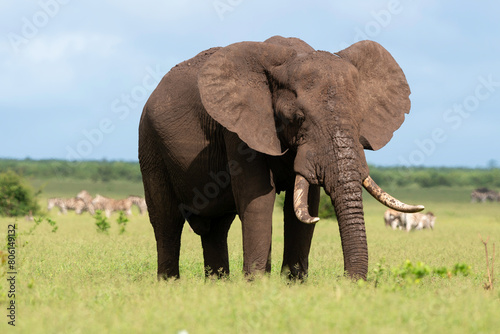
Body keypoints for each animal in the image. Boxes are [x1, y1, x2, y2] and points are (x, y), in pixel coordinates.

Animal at [139, 35, 424, 280]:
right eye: (297, 119)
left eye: (360, 118)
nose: (348, 281)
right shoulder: (239, 130)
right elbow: (259, 199)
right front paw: (256, 285)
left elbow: (305, 204)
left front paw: (291, 284)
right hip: (150, 144)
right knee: (167, 222)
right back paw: (170, 283)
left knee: (216, 229)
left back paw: (218, 284)